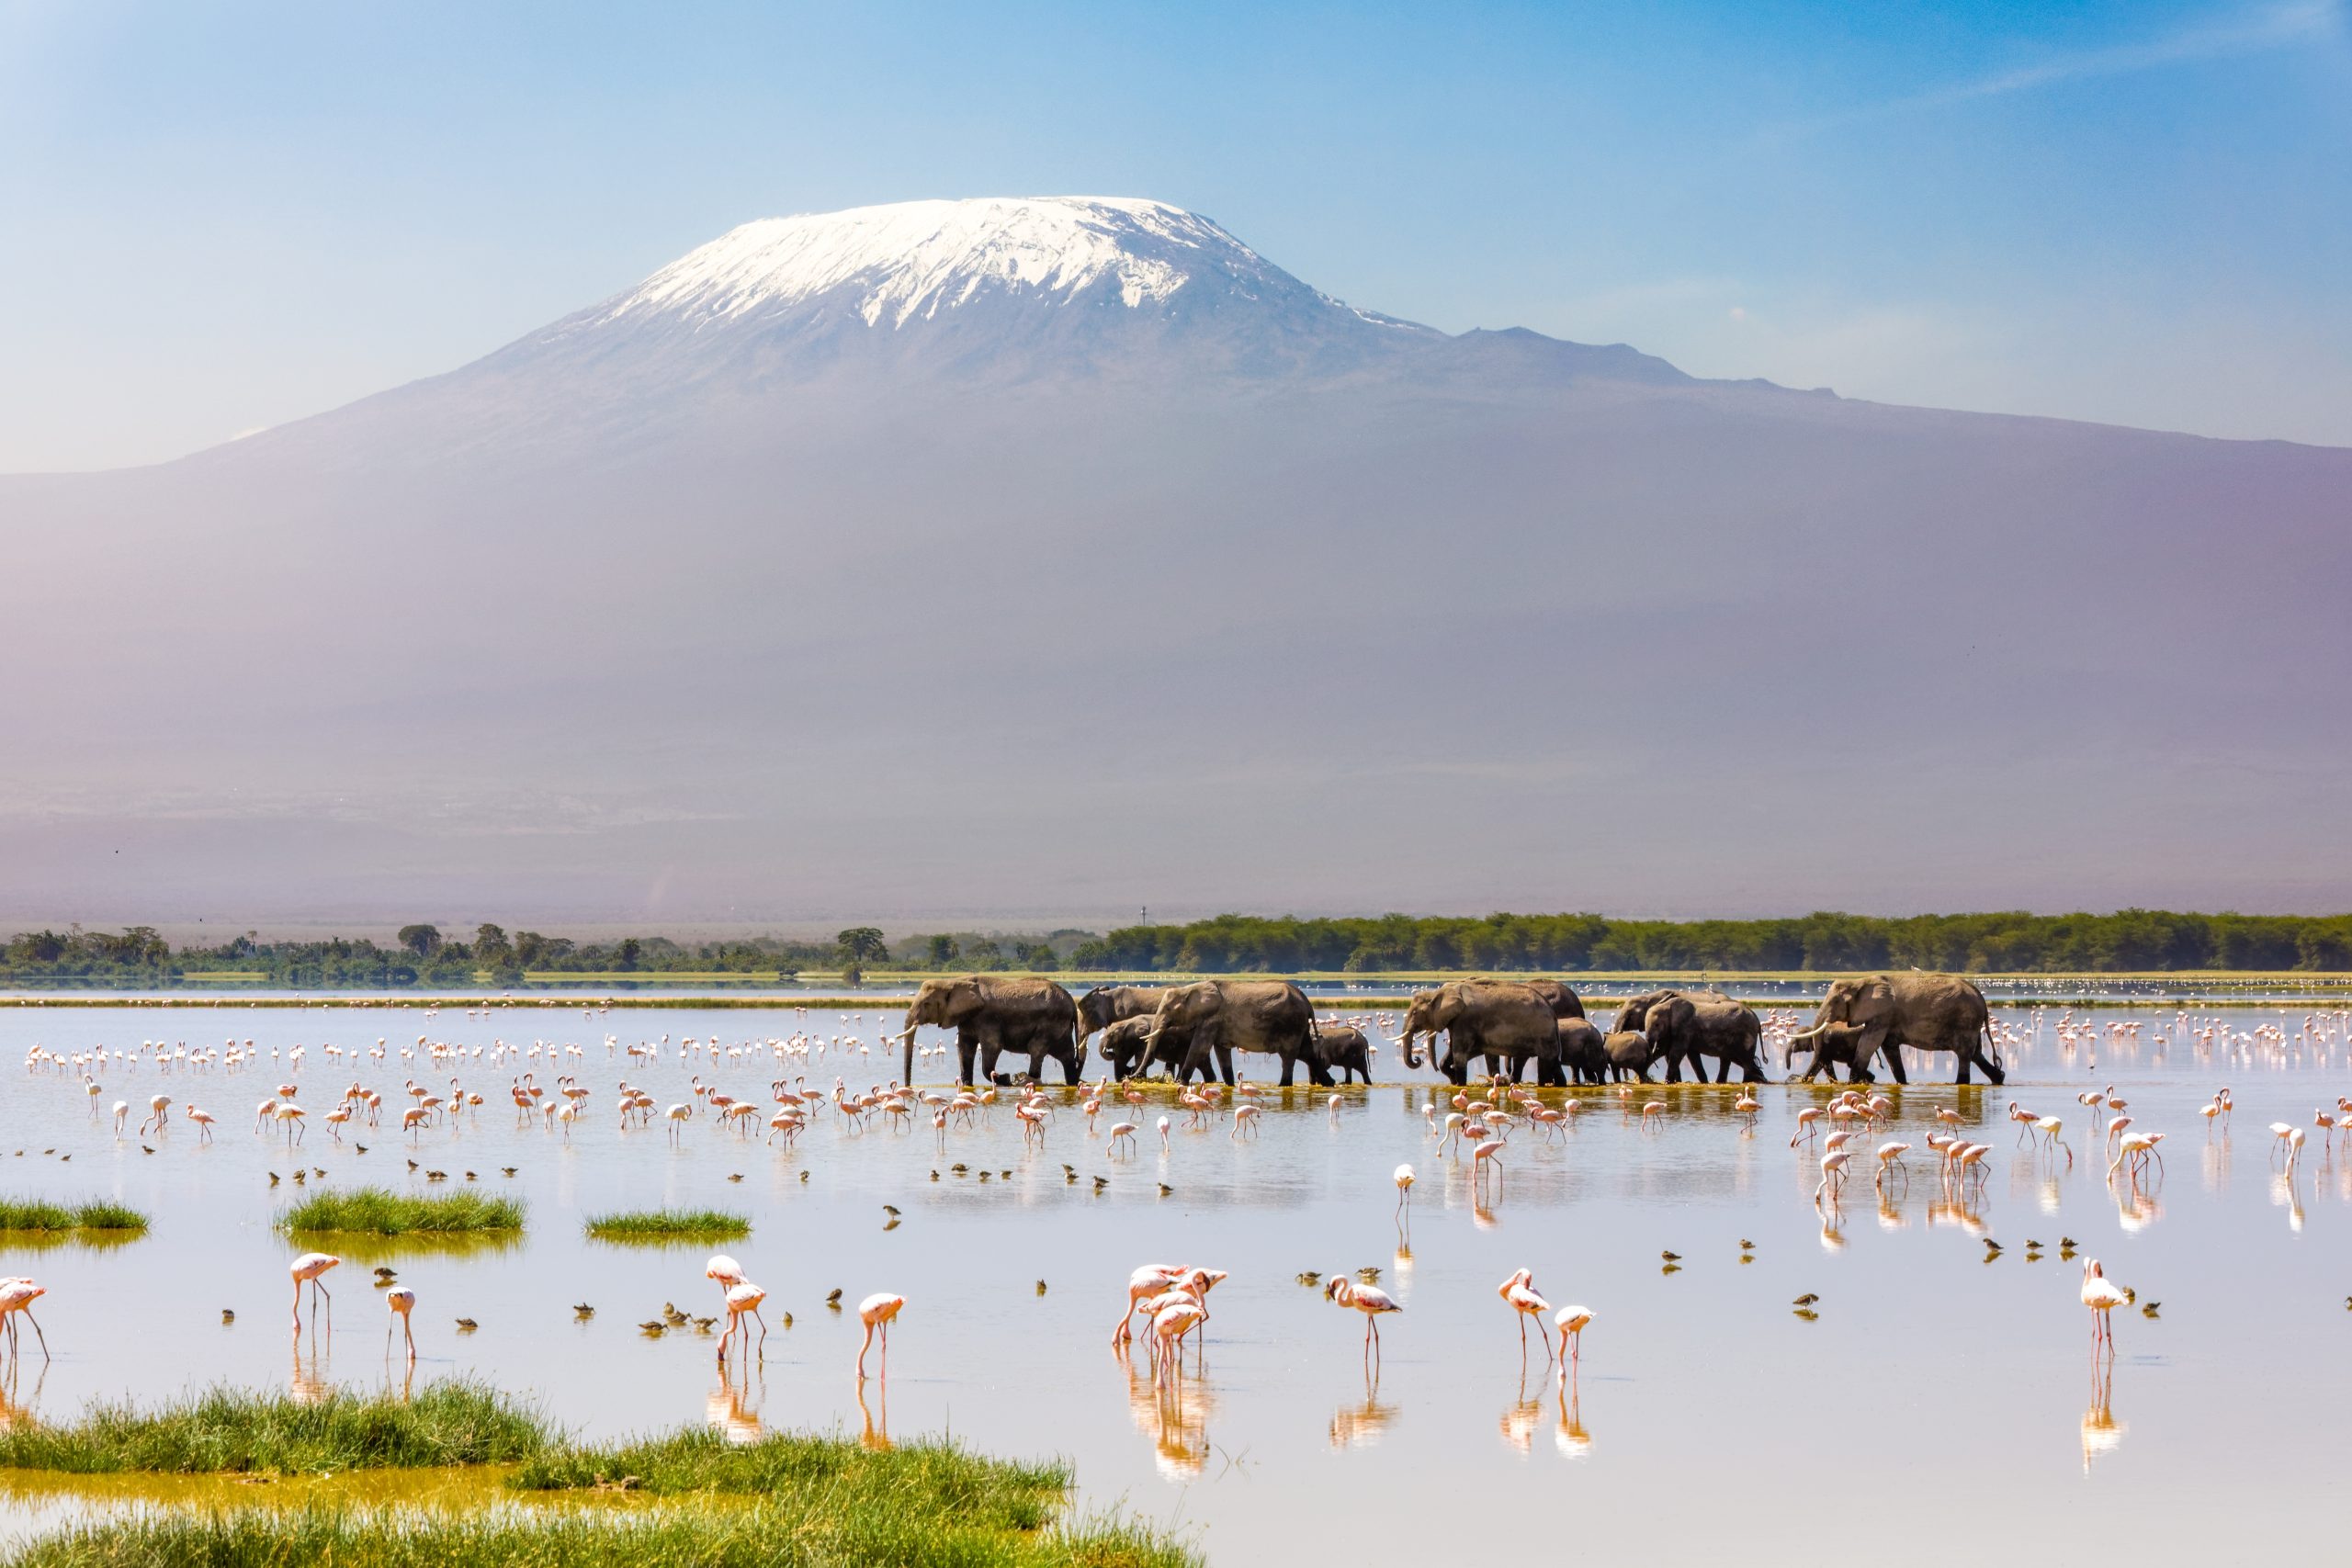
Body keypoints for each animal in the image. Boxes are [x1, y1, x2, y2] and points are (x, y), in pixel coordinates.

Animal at [898, 973, 1081, 1086]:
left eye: (926, 1004)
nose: (908, 1087)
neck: (953, 981)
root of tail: (1072, 1001)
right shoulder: (967, 1017)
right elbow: (965, 1047)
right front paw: (967, 1085)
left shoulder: (987, 1018)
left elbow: (993, 1046)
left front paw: (1006, 1079)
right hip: (1060, 1025)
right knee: (1066, 1054)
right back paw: (1072, 1082)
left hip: (1051, 1021)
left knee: (1036, 1048)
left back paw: (1024, 1080)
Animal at [1143, 982, 1326, 1090]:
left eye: (1167, 1009)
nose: (1136, 1076)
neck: (1190, 988)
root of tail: (1308, 1002)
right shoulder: (1217, 1024)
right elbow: (1222, 1053)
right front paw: (1229, 1085)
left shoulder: (1211, 1019)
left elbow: (1199, 1049)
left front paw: (1180, 1084)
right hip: (1299, 1026)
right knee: (1308, 1054)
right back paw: (1328, 1084)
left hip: (1291, 1026)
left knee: (1289, 1057)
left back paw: (1283, 1086)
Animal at [1392, 987, 1561, 1086]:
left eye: (1415, 1012)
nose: (1417, 1060)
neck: (1439, 992)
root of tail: (1552, 1013)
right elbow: (1453, 1053)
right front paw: (1453, 1081)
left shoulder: (1465, 1020)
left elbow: (1459, 1054)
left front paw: (1460, 1084)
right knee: (1550, 1061)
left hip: (1542, 1031)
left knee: (1544, 1061)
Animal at [1787, 973, 1994, 1086]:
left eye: (1835, 1001)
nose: (1792, 1076)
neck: (1860, 981)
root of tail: (1982, 1000)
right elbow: (1889, 1049)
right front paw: (1903, 1083)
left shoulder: (1882, 1014)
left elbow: (1868, 1045)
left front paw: (1852, 1084)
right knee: (1976, 1055)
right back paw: (1997, 1079)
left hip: (1966, 1021)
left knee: (1964, 1055)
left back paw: (1961, 1083)